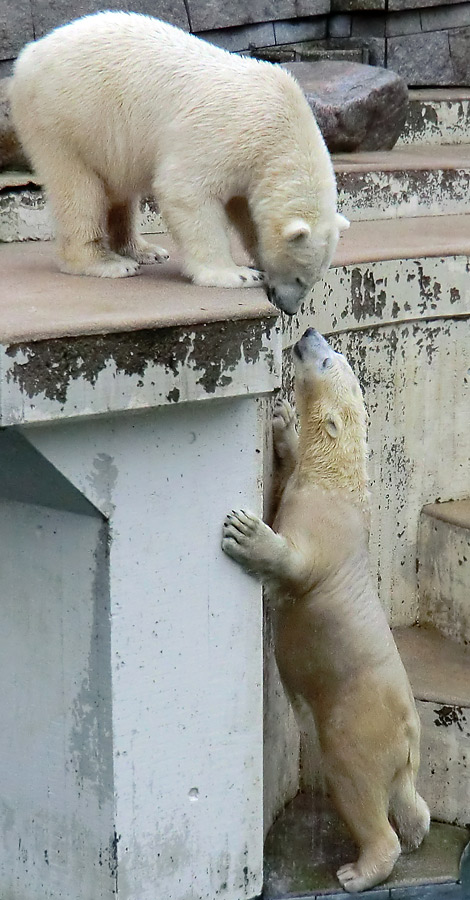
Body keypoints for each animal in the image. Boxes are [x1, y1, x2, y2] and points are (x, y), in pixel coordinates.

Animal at [11, 12, 348, 316]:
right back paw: (107, 262)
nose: (289, 308)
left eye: (315, 279)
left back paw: (144, 251)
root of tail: (29, 54)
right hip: (67, 118)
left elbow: (245, 210)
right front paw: (238, 274)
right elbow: (186, 191)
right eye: (299, 276)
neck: (282, 127)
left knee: (121, 191)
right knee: (79, 189)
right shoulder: (225, 136)